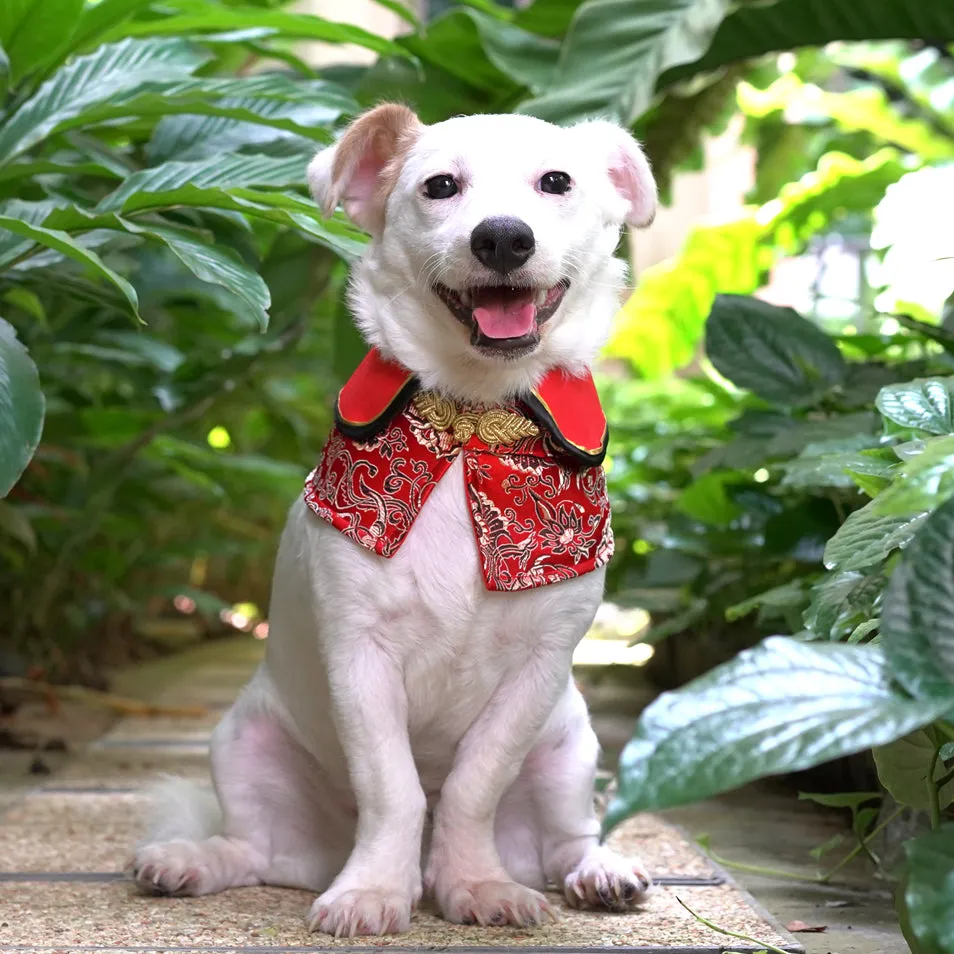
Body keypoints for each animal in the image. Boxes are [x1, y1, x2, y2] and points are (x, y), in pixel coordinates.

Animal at [132, 104, 656, 936]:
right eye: (439, 187)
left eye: (556, 182)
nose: (502, 237)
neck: (471, 425)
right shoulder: (360, 657)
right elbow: (393, 786)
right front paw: (375, 888)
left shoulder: (537, 670)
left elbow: (473, 785)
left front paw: (473, 882)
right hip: (244, 742)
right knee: (251, 850)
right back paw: (189, 861)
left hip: (570, 748)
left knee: (567, 841)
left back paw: (598, 872)